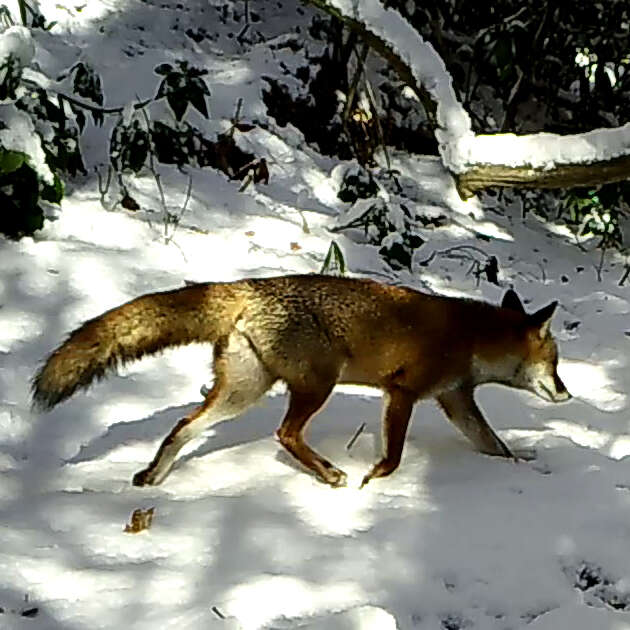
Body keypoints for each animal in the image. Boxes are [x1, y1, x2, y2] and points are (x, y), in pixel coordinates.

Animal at [30, 276, 572, 488]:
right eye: (556, 363)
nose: (568, 393)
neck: (470, 336)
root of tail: (249, 286)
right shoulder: (403, 391)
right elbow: (395, 456)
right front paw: (375, 478)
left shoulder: (455, 398)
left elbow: (494, 445)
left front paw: (524, 466)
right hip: (317, 385)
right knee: (284, 433)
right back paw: (329, 473)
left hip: (244, 391)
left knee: (185, 426)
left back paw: (153, 476)